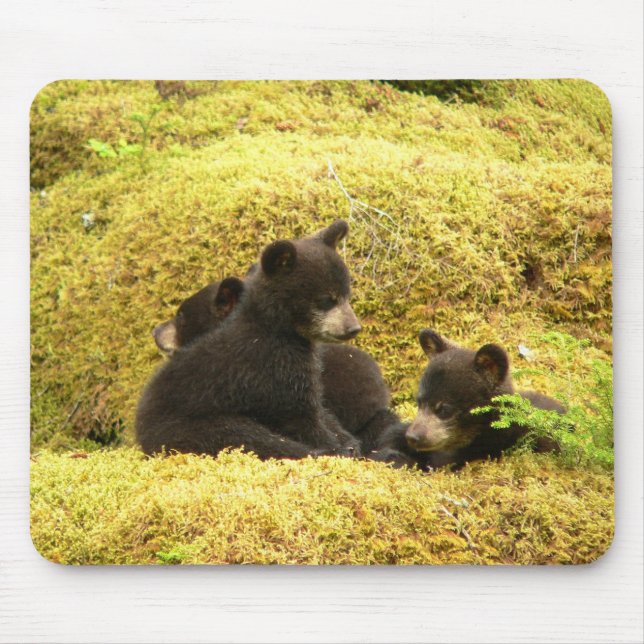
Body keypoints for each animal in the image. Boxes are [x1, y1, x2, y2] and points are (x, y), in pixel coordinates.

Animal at [136, 220, 365, 460]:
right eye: (327, 299)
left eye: (346, 295)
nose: (353, 327)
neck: (280, 330)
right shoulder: (273, 367)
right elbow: (299, 414)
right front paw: (334, 447)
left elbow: (321, 409)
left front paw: (348, 442)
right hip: (193, 424)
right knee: (245, 436)